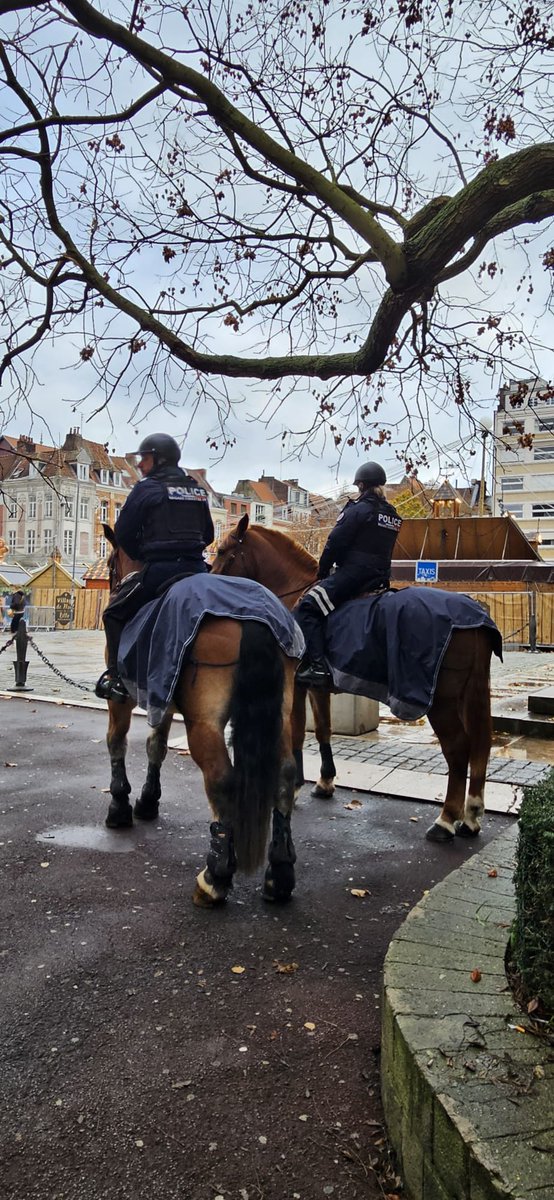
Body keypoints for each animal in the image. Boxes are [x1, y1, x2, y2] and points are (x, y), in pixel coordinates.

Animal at [99, 530, 298, 902]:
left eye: (110, 562)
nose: (115, 585)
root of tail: (251, 618)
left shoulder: (124, 700)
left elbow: (116, 742)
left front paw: (119, 805)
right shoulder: (161, 690)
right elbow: (156, 746)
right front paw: (147, 801)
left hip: (204, 724)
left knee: (221, 780)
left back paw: (214, 877)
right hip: (280, 714)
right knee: (284, 775)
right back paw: (279, 873)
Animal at [211, 516, 498, 844]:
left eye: (222, 551)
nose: (207, 578)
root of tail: (474, 615)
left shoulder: (295, 685)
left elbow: (296, 732)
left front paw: (293, 787)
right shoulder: (316, 687)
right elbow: (322, 729)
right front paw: (324, 781)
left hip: (443, 702)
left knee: (458, 750)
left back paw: (447, 819)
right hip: (471, 693)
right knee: (481, 744)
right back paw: (471, 816)